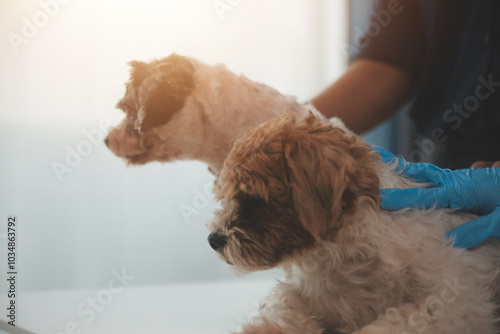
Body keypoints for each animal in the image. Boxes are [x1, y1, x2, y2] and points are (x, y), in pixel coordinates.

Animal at [207, 113, 500, 332]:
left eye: (254, 199)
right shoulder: (303, 293)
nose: (213, 239)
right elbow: (284, 305)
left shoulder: (459, 303)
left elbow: (401, 321)